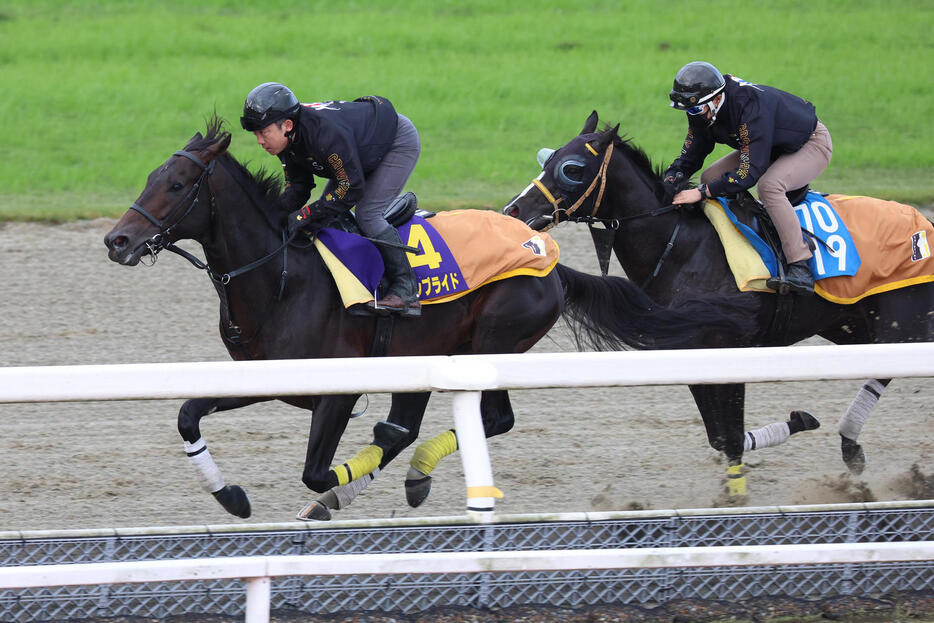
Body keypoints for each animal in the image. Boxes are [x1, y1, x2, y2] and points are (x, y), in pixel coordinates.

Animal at [102, 114, 748, 520]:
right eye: (151, 177)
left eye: (177, 184)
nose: (116, 240)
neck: (282, 277)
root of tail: (549, 256)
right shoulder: (269, 377)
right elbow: (188, 414)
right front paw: (231, 496)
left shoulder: (337, 390)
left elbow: (318, 472)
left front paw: (330, 497)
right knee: (414, 425)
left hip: (492, 340)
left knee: (489, 418)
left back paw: (415, 473)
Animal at [508, 109, 932, 494]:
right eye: (547, 158)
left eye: (572, 169)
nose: (514, 210)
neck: (681, 245)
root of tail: (923, 225)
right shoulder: (693, 351)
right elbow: (723, 436)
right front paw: (796, 423)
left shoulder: (730, 343)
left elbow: (729, 434)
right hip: (852, 326)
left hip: (903, 324)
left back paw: (851, 445)